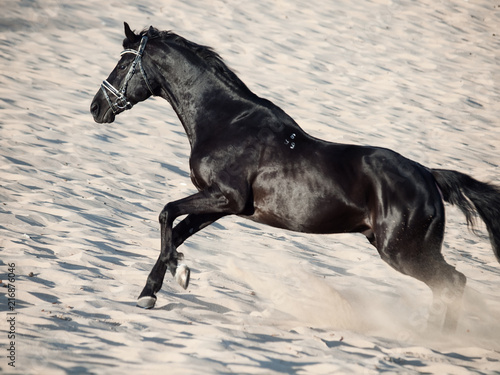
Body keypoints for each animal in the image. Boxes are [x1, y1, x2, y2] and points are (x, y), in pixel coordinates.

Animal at [91, 23, 500, 334]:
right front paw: (152, 291)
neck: (226, 121)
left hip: (403, 251)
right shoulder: (222, 206)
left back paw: (439, 338)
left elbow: (165, 214)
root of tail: (429, 177)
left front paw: (178, 275)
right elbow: (175, 232)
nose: (96, 108)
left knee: (452, 282)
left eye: (122, 64)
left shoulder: (225, 197)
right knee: (452, 283)